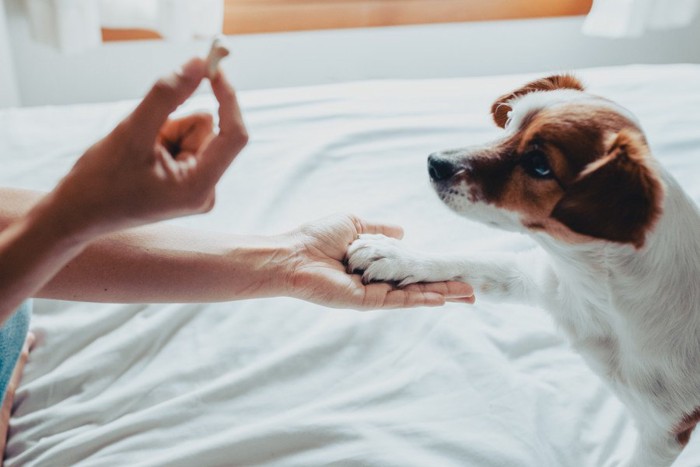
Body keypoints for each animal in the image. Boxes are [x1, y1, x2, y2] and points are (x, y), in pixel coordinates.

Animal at [348, 75, 700, 466]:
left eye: (538, 164)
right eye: (510, 123)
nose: (435, 162)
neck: (593, 283)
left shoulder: (663, 431)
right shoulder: (541, 279)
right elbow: (471, 261)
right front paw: (396, 255)